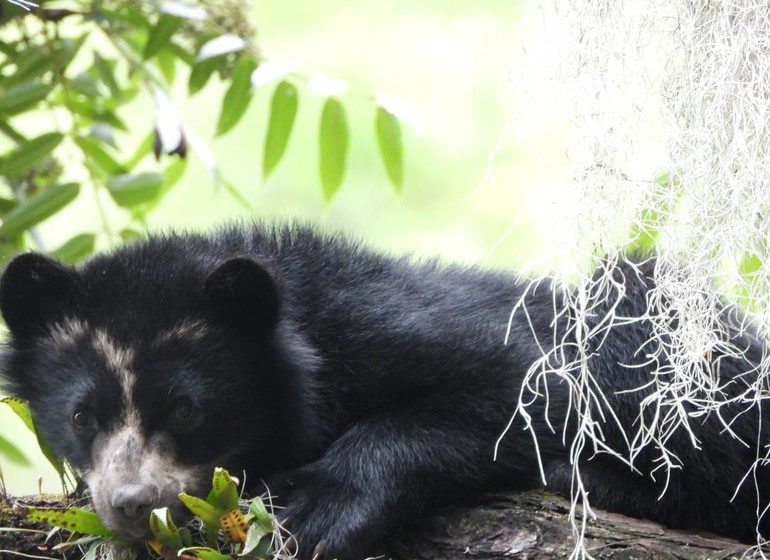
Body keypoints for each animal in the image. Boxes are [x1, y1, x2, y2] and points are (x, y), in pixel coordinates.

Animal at [0, 224, 764, 560]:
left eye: (188, 408)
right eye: (82, 416)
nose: (131, 503)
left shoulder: (396, 327)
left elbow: (516, 385)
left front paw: (313, 511)